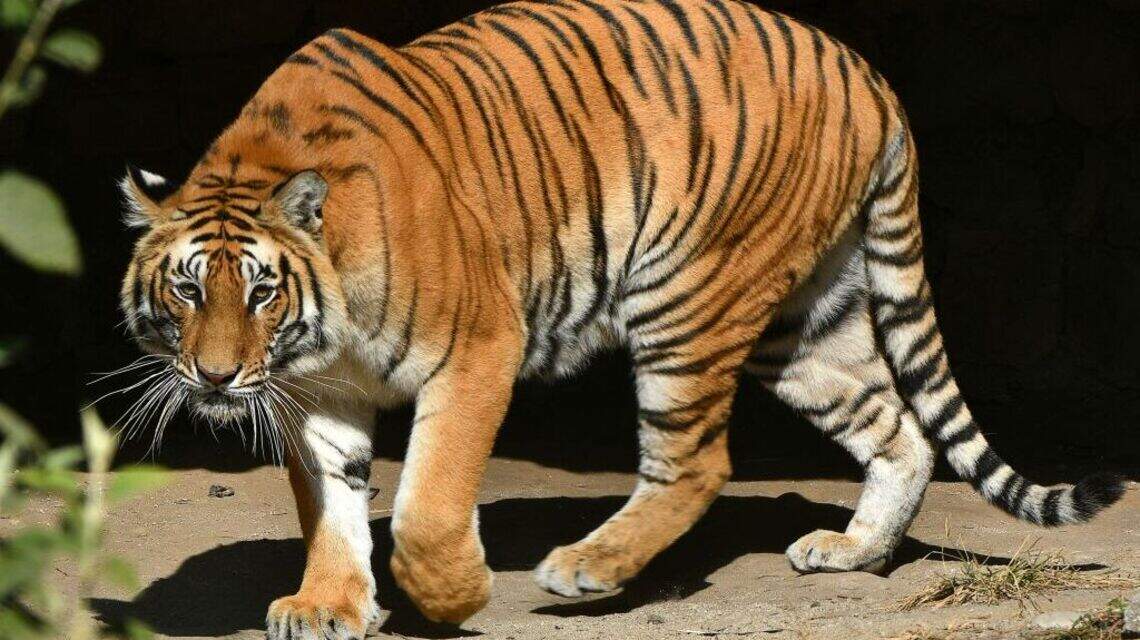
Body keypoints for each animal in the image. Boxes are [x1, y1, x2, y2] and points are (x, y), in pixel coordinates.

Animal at [116, 0, 1125, 637]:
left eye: (260, 291)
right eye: (186, 291)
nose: (214, 377)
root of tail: (864, 70)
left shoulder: (477, 348)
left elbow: (429, 503)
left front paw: (451, 598)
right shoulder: (316, 391)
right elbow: (330, 504)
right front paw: (327, 605)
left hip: (688, 294)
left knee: (699, 462)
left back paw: (588, 568)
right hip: (805, 318)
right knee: (900, 426)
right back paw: (853, 551)